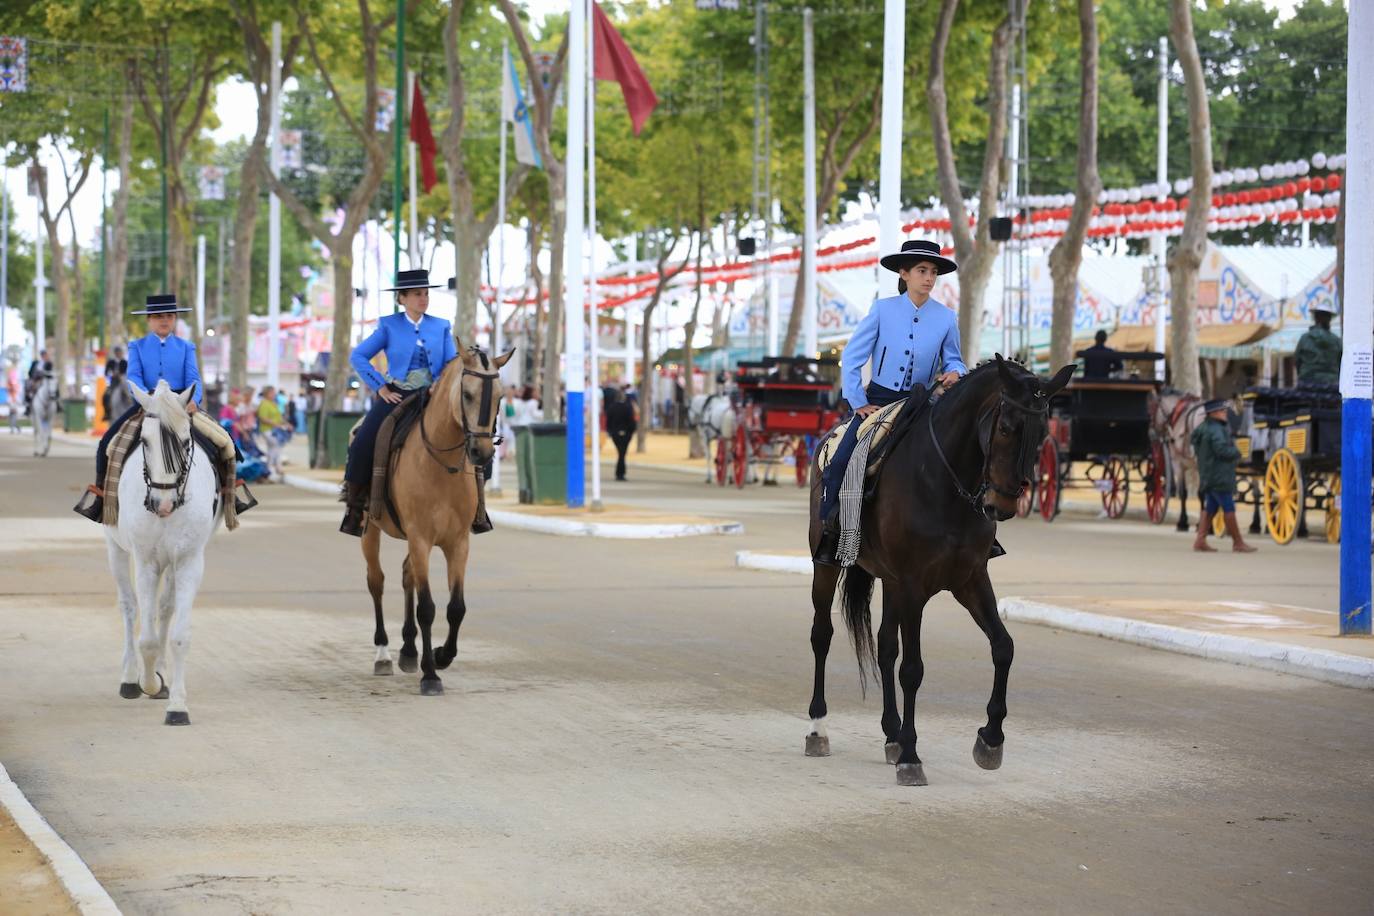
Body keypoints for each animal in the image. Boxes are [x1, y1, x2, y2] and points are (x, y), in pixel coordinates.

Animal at [105, 379, 217, 725]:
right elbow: (147, 639)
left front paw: (177, 705)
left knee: (165, 610)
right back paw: (131, 678)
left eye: (185, 441)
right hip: (115, 548)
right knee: (129, 608)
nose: (162, 504)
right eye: (144, 441)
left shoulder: (189, 561)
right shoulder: (146, 562)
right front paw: (148, 682)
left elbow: (179, 635)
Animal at [362, 343, 513, 694]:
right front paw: (431, 674)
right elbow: (427, 608)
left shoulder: (457, 542)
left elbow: (456, 607)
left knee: (407, 576)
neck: (441, 465)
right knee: (377, 581)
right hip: (369, 529)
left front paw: (442, 655)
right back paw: (384, 653)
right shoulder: (420, 538)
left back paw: (408, 650)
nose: (483, 453)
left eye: (500, 396)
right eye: (467, 394)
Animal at [802, 357, 1077, 791]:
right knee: (822, 636)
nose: (1003, 504)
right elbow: (912, 669)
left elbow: (1004, 647)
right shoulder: (914, 585)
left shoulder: (970, 579)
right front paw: (912, 758)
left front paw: (990, 740)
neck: (945, 482)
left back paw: (891, 734)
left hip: (891, 582)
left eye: (1043, 433)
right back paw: (819, 729)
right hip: (827, 566)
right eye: (1005, 427)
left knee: (884, 646)